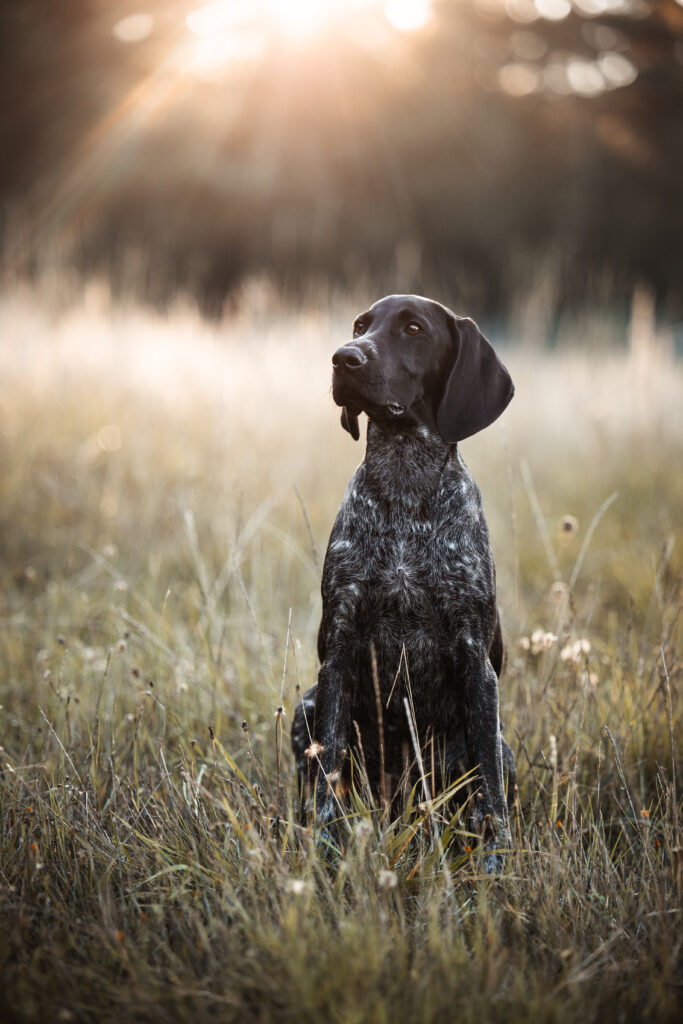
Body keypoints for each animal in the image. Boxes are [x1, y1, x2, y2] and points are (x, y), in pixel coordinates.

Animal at [290, 292, 516, 868]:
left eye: (414, 329)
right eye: (360, 325)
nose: (343, 358)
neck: (403, 483)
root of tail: (401, 801)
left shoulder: (476, 662)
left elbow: (491, 793)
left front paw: (496, 862)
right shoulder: (339, 652)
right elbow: (327, 778)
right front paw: (324, 849)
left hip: (496, 743)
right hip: (306, 706)